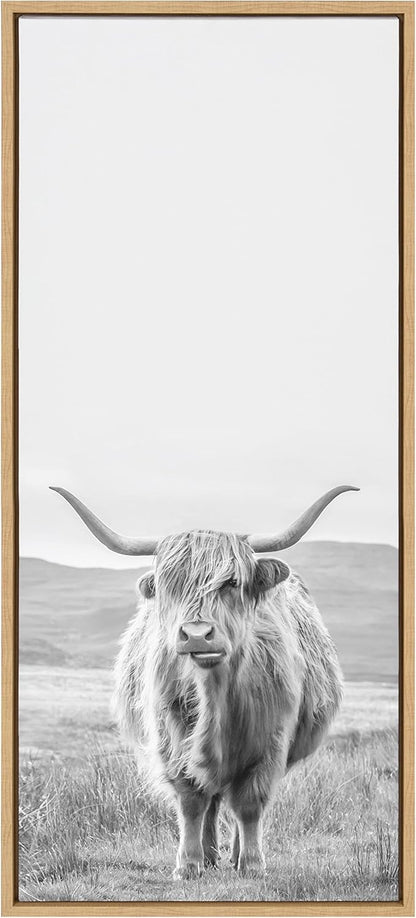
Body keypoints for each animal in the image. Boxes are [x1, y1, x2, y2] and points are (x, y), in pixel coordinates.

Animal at [51, 484, 357, 878]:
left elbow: (249, 803)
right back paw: (210, 855)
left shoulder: (271, 740)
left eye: (231, 583)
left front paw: (252, 864)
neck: (215, 695)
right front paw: (189, 864)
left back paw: (236, 854)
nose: (196, 635)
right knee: (210, 798)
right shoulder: (170, 736)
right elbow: (191, 799)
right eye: (169, 584)